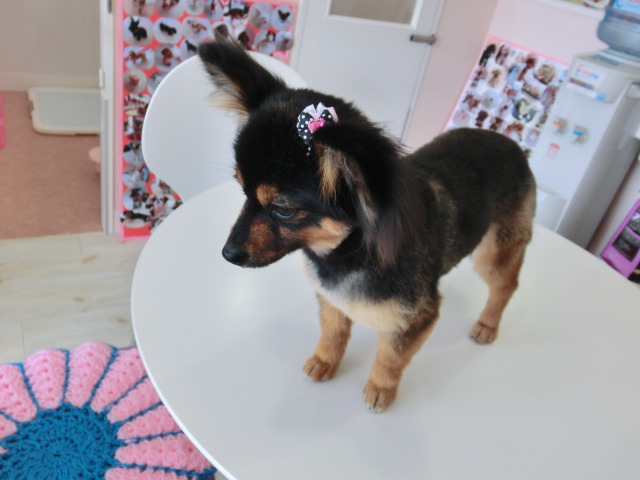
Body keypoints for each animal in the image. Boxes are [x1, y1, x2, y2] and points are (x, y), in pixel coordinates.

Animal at [198, 41, 536, 413]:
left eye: (283, 210)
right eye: (243, 192)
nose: (227, 253)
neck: (345, 251)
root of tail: (512, 143)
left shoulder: (416, 316)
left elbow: (391, 357)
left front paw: (381, 389)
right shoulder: (330, 296)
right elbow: (333, 332)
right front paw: (325, 361)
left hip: (495, 250)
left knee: (506, 285)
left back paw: (488, 324)